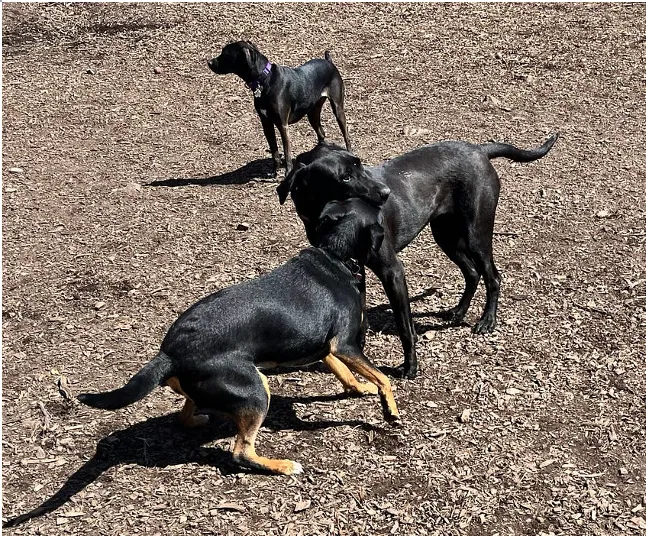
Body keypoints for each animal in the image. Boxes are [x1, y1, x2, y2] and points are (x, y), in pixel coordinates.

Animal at [78, 199, 398, 476]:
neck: (335, 254)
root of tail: (170, 353)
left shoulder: (324, 347)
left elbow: (345, 372)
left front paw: (360, 388)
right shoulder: (344, 344)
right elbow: (383, 377)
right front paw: (390, 410)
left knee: (185, 416)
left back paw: (199, 419)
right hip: (256, 390)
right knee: (241, 452)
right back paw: (282, 465)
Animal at [209, 40, 352, 178]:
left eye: (225, 54)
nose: (209, 62)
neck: (265, 79)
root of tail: (329, 61)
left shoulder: (282, 125)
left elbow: (286, 151)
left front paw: (287, 172)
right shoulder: (266, 123)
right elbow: (274, 151)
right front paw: (274, 172)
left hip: (338, 109)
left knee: (346, 135)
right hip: (312, 113)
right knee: (321, 133)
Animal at [278, 133, 560, 376]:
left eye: (358, 163)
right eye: (345, 177)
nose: (386, 193)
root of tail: (479, 149)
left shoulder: (392, 271)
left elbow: (405, 327)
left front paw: (410, 366)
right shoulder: (353, 266)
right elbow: (361, 312)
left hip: (476, 234)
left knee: (492, 276)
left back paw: (487, 320)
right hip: (446, 236)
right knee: (472, 272)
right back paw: (458, 312)